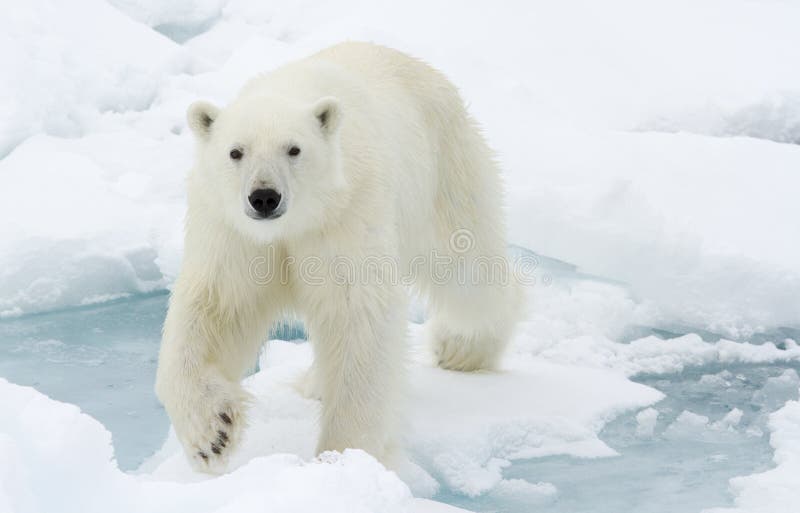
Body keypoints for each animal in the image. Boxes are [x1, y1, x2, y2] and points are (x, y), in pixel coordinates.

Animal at [156, 42, 520, 470]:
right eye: (235, 152)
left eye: (294, 149)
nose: (264, 197)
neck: (295, 223)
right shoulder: (233, 232)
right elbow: (217, 307)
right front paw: (212, 433)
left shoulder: (347, 213)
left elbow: (356, 314)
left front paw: (344, 454)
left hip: (444, 171)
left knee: (467, 275)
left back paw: (461, 349)